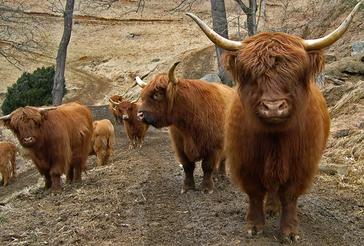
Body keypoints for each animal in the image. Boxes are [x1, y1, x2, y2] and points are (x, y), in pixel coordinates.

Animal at [136, 62, 236, 194]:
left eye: (157, 95)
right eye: (143, 96)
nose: (139, 115)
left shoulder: (214, 146)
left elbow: (207, 166)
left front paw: (206, 188)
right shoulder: (180, 147)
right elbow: (188, 167)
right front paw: (187, 187)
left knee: (223, 160)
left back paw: (221, 175)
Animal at [186, 0, 362, 242]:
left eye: (294, 74)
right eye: (252, 75)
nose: (273, 107)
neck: (274, 139)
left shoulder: (300, 165)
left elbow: (289, 196)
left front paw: (289, 231)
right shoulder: (246, 161)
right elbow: (254, 193)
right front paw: (254, 226)